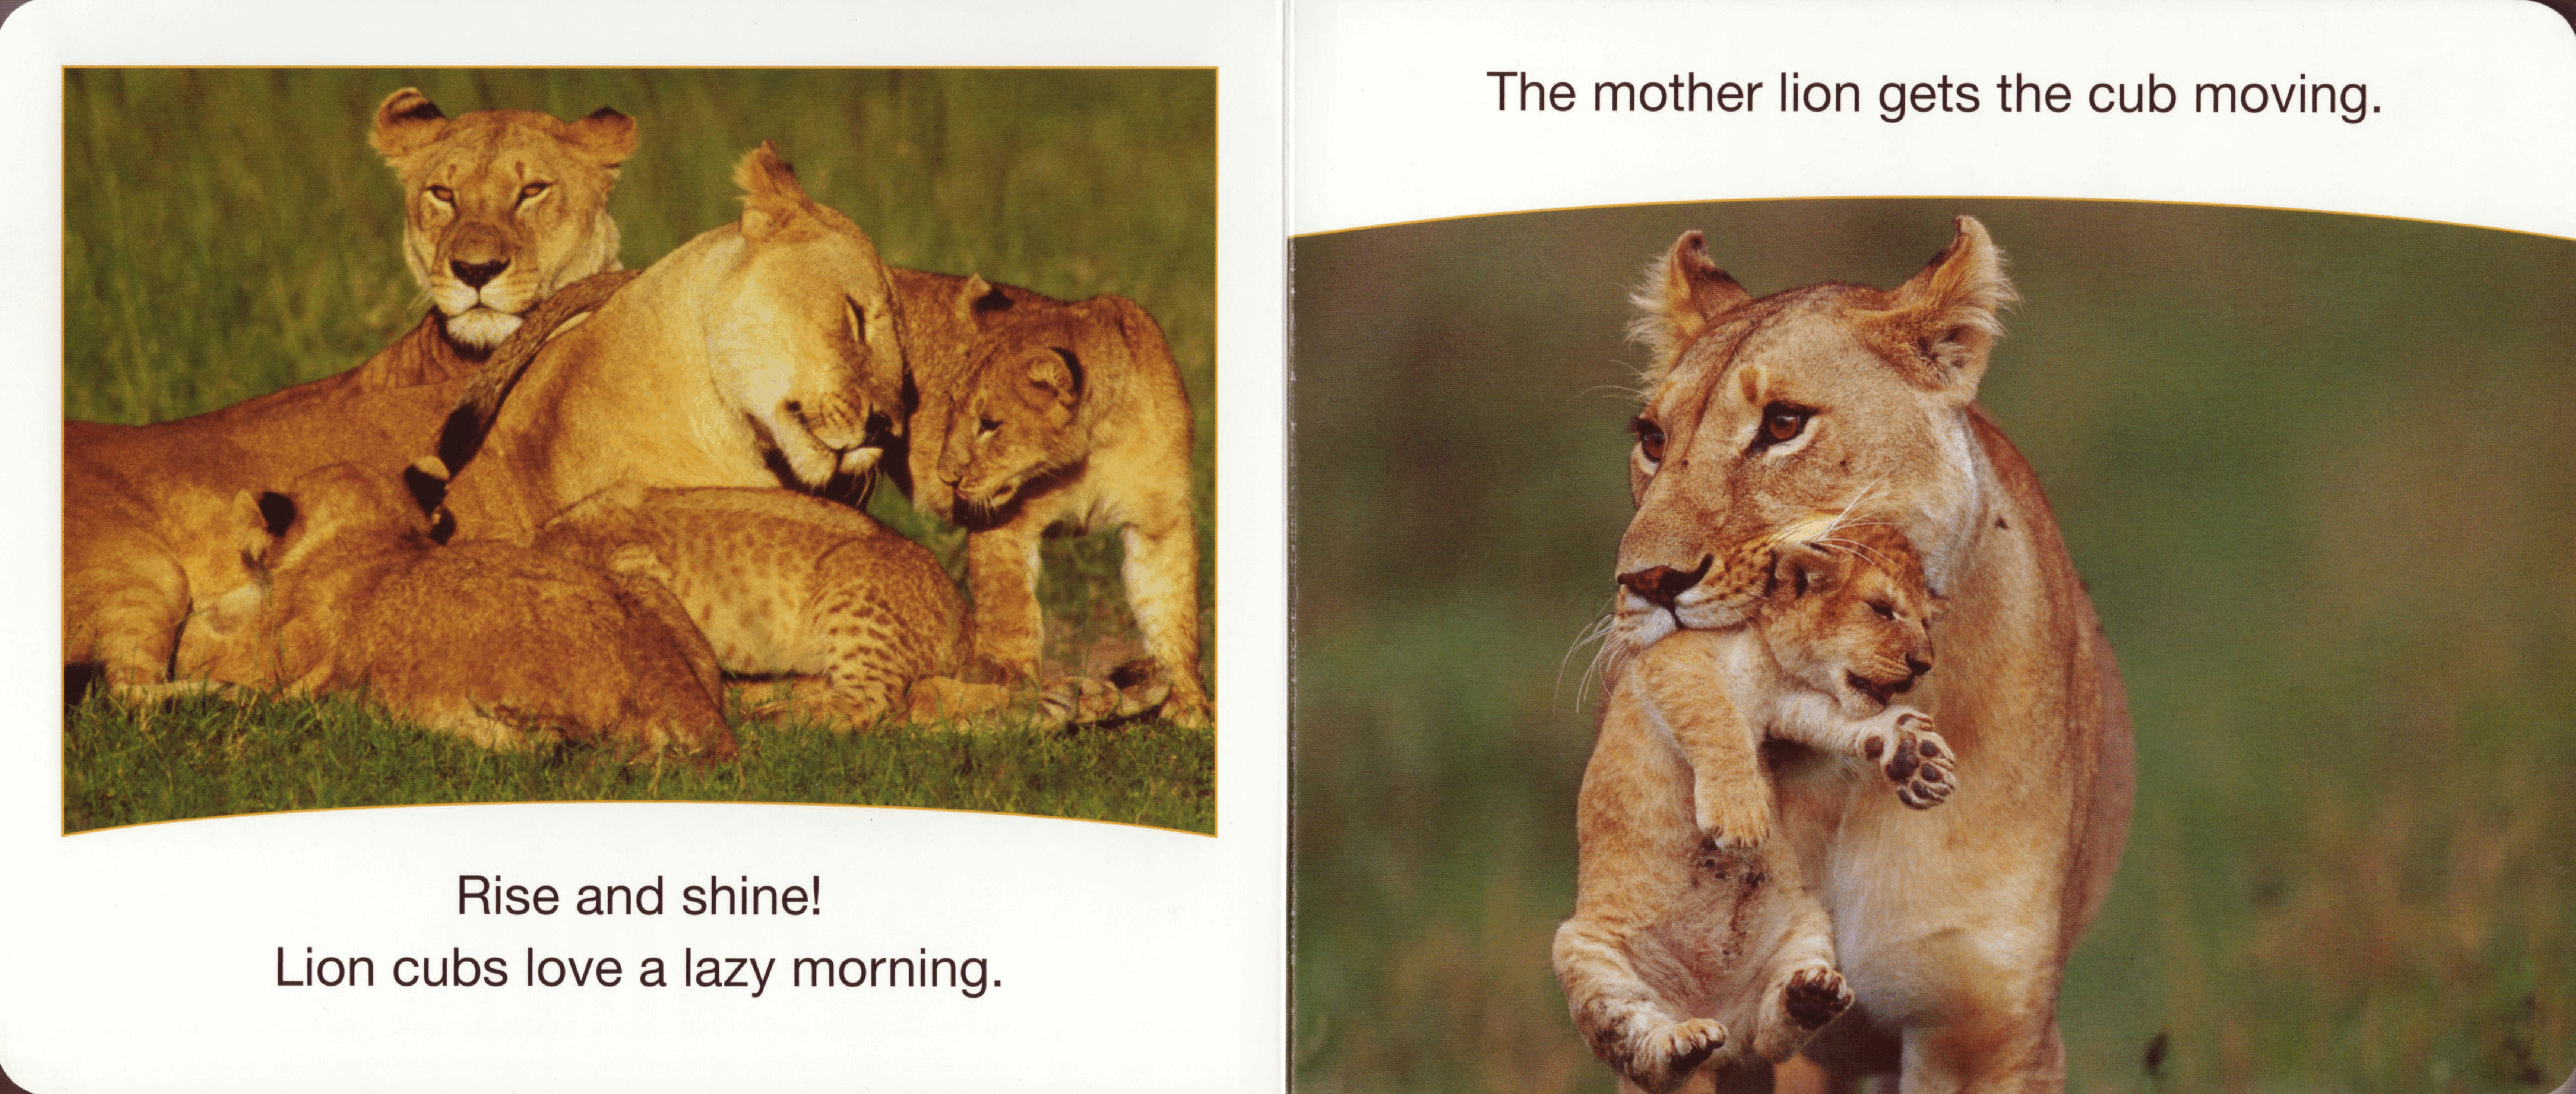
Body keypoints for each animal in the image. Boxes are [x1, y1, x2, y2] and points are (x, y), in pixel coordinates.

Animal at [907, 284, 1209, 728]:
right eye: (950, 408)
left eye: (989, 425)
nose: (947, 477)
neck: (1097, 442)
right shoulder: (1004, 523)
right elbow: (1011, 613)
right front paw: (1016, 693)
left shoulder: (1161, 520)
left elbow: (1172, 612)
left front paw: (1189, 706)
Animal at [1555, 524, 1954, 1093]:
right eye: (1882, 609)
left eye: (1926, 622)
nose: (1924, 663)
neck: (1766, 655)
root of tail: (1717, 1025)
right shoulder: (1674, 662)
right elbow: (1717, 723)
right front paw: (1741, 818)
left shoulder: (1792, 704)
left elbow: (1846, 721)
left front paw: (1913, 754)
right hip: (1584, 953)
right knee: (1640, 1049)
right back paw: (1680, 1043)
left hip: (1809, 928)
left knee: (1769, 1037)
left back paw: (1808, 999)